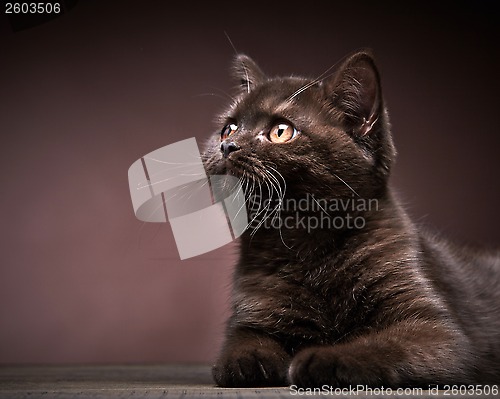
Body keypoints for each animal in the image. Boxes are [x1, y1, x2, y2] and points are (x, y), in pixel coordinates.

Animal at [200, 49, 500, 388]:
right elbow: (240, 346)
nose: (227, 145)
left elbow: (383, 345)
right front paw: (251, 361)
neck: (306, 247)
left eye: (281, 132)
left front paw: (322, 357)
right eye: (229, 128)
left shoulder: (438, 334)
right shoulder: (252, 314)